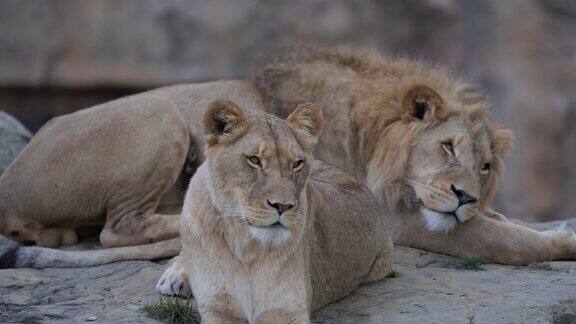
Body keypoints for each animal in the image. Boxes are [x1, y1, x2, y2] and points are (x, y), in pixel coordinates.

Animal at [163, 100, 396, 322]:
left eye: (297, 163)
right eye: (254, 160)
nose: (283, 206)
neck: (246, 249)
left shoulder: (287, 309)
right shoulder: (217, 308)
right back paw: (174, 278)